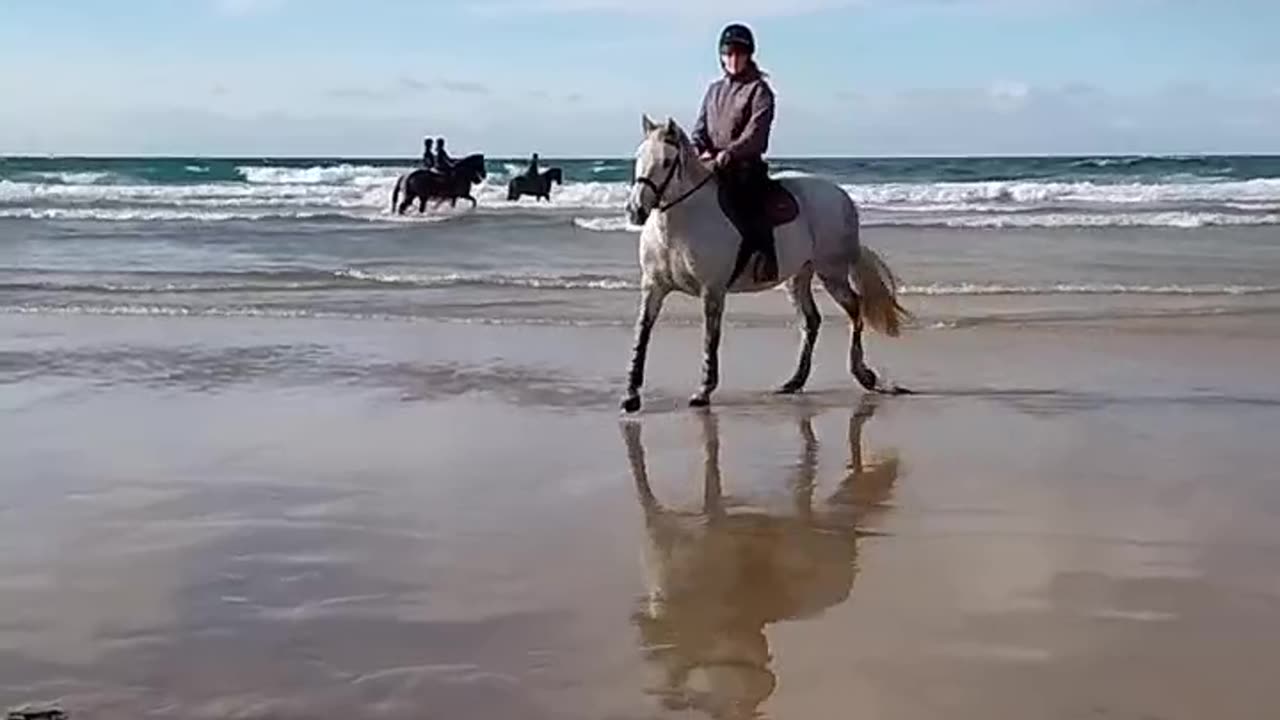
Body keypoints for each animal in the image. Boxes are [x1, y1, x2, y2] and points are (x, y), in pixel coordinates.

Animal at [619, 114, 911, 412]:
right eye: (639, 157)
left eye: (667, 161)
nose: (635, 210)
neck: (680, 225)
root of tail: (840, 194)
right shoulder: (653, 287)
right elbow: (642, 333)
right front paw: (631, 395)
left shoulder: (712, 290)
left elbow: (710, 337)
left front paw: (703, 391)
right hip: (798, 276)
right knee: (811, 320)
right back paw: (794, 381)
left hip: (832, 272)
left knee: (855, 308)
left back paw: (864, 375)